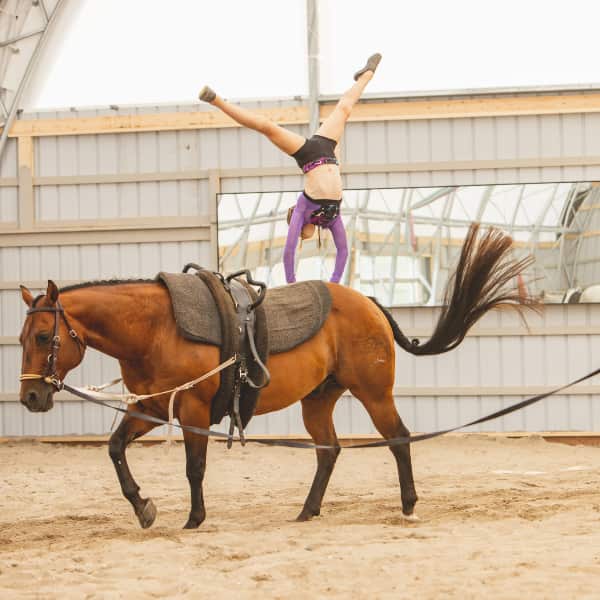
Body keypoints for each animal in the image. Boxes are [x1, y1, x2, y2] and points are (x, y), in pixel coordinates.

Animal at [17, 225, 536, 528]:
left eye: (43, 335)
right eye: (21, 336)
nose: (31, 397)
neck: (157, 325)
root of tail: (368, 303)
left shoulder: (193, 409)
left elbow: (194, 466)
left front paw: (194, 518)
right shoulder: (151, 405)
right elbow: (115, 448)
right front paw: (143, 508)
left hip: (374, 393)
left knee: (399, 438)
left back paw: (408, 504)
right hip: (318, 400)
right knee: (329, 451)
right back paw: (308, 510)